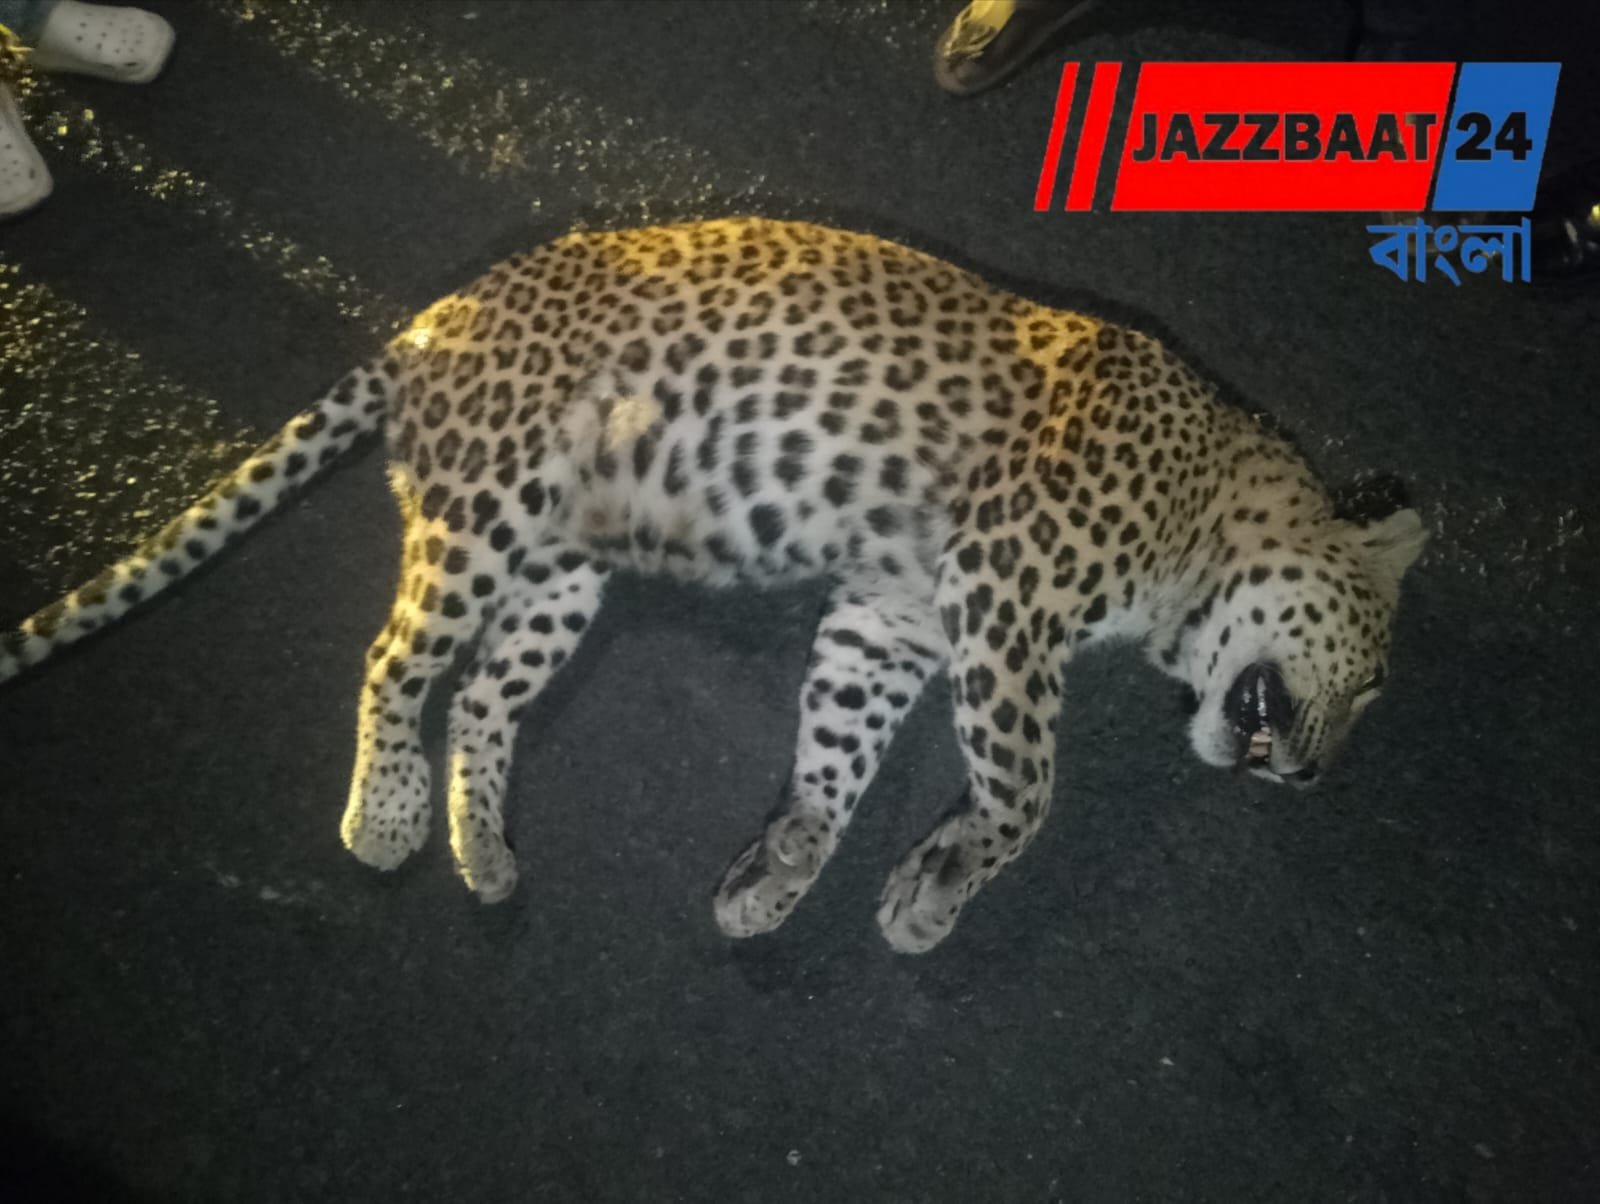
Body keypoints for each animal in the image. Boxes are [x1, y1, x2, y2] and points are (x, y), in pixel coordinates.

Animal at [0, 218, 1427, 954]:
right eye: (1366, 683)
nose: (1311, 777)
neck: (1210, 501)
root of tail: (430, 322)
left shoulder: (894, 619)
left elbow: (841, 750)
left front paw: (786, 869)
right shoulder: (1006, 585)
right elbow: (1027, 791)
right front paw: (933, 894)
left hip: (560, 573)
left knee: (482, 698)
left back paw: (482, 848)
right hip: (486, 506)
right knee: (394, 660)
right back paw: (389, 815)